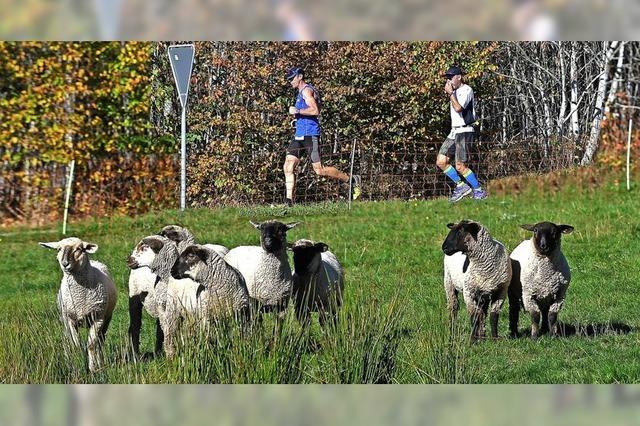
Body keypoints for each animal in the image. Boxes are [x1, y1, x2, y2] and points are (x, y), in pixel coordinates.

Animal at [39, 238, 117, 372]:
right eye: (59, 249)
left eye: (79, 249)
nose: (65, 263)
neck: (80, 296)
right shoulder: (70, 319)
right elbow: (75, 344)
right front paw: (78, 363)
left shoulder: (98, 318)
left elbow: (91, 345)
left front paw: (93, 368)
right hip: (65, 320)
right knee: (68, 340)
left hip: (107, 318)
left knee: (100, 342)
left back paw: (100, 361)